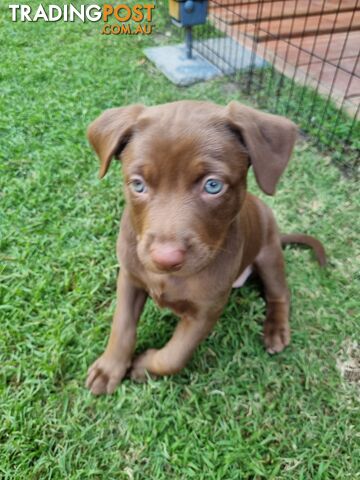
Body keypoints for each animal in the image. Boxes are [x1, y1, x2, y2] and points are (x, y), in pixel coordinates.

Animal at [85, 100, 326, 394]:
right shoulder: (130, 277)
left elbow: (173, 356)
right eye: (138, 185)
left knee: (280, 293)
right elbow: (122, 327)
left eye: (213, 185)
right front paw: (109, 369)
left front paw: (144, 366)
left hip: (269, 252)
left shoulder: (206, 310)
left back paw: (276, 330)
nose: (165, 258)